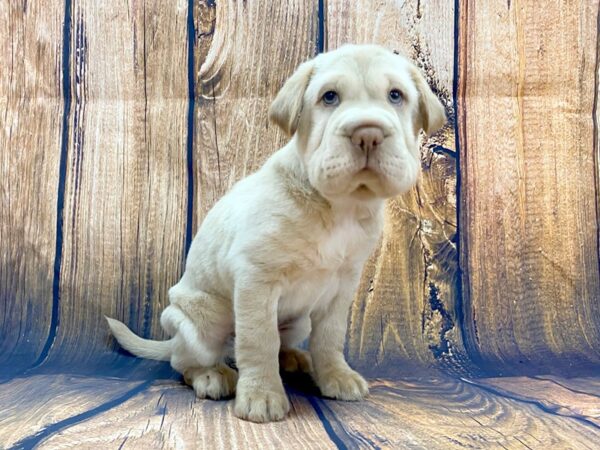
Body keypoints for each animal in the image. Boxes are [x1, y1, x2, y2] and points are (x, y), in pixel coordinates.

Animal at [106, 44, 446, 424]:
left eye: (396, 95)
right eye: (329, 96)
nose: (367, 134)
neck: (340, 206)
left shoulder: (342, 286)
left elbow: (330, 338)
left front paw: (335, 376)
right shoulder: (256, 281)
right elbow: (258, 341)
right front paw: (261, 395)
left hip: (297, 322)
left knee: (278, 343)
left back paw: (295, 359)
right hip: (203, 318)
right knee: (187, 360)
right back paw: (212, 375)